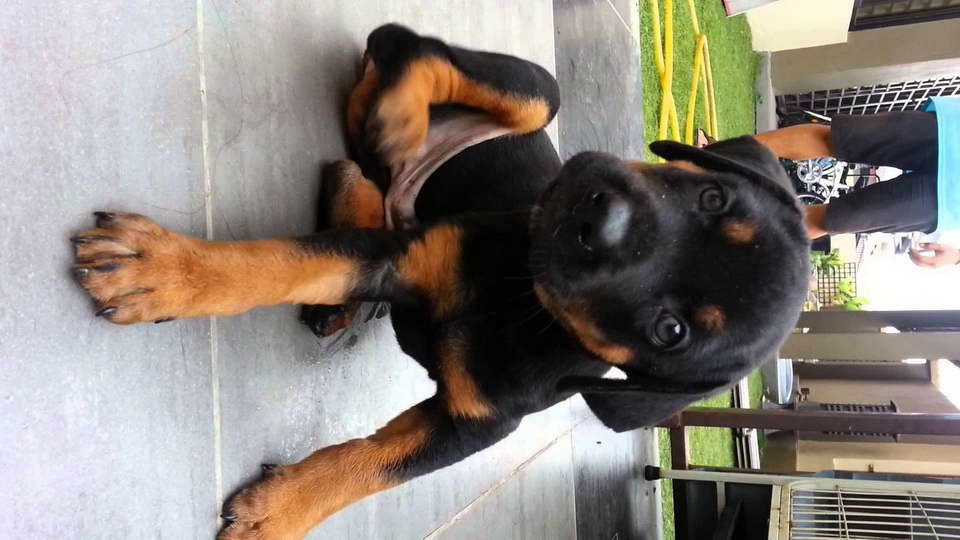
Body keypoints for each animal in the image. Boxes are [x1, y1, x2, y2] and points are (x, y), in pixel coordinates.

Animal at [68, 24, 809, 539]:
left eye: (671, 331)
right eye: (712, 196)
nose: (600, 212)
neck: (522, 298)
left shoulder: (476, 422)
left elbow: (370, 466)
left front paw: (276, 514)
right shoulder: (399, 256)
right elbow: (276, 262)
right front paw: (164, 271)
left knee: (370, 179)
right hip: (525, 95)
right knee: (428, 57)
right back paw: (396, 111)